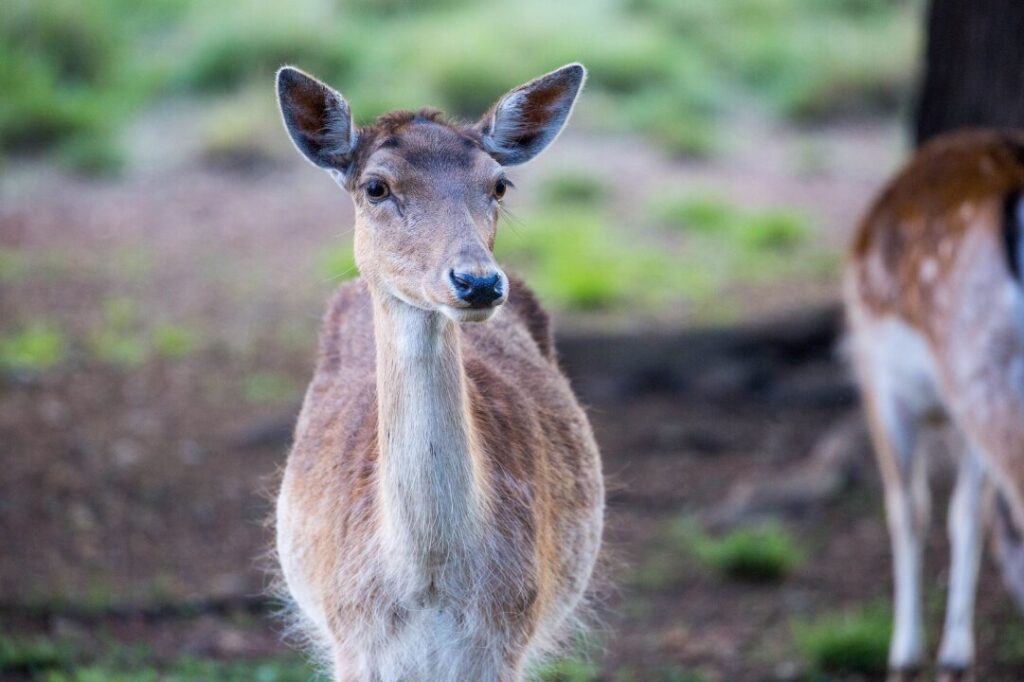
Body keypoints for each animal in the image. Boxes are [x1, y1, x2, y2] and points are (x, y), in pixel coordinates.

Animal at [272, 63, 604, 681]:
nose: (477, 281)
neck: (428, 584)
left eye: (499, 184)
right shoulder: (351, 643)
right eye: (375, 186)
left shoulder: (506, 640)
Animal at [845, 129, 1024, 681]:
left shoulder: (877, 380)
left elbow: (909, 508)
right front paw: (955, 652)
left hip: (979, 363)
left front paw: (904, 654)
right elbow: (967, 512)